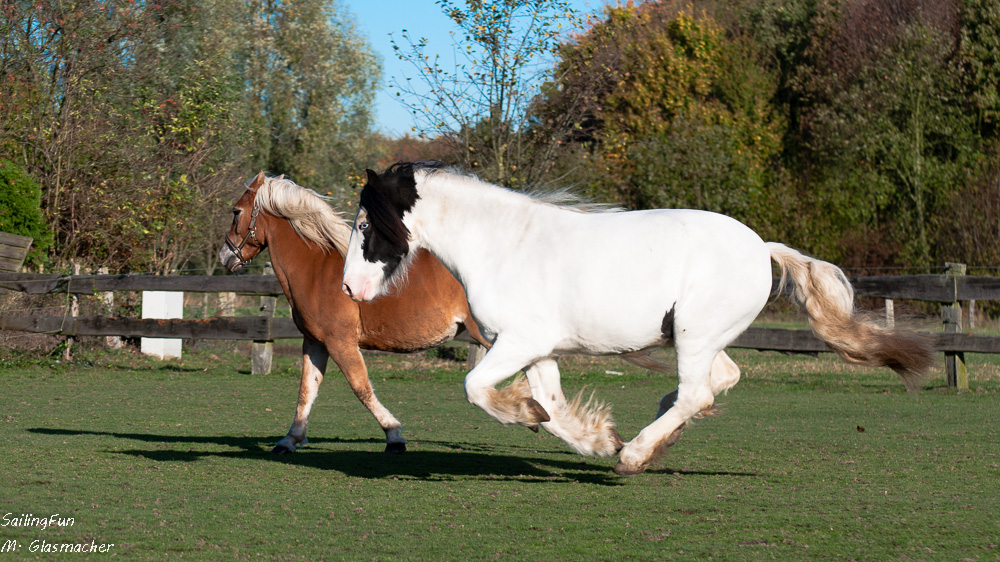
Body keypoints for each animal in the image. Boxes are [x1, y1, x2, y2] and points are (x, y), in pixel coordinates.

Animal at [219, 173, 488, 452]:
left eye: (236, 212)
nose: (225, 256)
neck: (315, 267)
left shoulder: (341, 342)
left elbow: (361, 388)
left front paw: (394, 435)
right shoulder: (315, 343)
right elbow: (307, 389)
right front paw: (290, 440)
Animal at [340, 161, 932, 472]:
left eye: (366, 225)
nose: (349, 288)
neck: (501, 244)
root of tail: (763, 247)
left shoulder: (518, 341)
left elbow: (476, 389)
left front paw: (533, 417)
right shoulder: (537, 348)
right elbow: (553, 407)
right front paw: (597, 438)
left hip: (694, 335)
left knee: (699, 392)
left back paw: (639, 452)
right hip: (700, 339)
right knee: (718, 381)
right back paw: (651, 436)